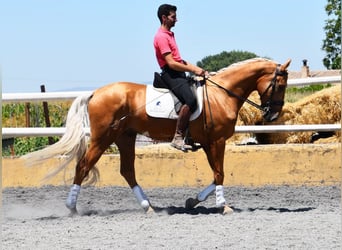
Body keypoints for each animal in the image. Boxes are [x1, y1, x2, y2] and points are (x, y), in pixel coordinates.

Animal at [24, 57, 292, 214]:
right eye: (280, 85)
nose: (272, 115)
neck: (222, 94)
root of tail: (95, 93)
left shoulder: (208, 143)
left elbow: (217, 174)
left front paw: (193, 201)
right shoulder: (216, 141)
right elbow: (220, 173)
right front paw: (222, 206)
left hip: (124, 137)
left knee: (127, 171)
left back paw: (148, 206)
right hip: (102, 138)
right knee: (83, 166)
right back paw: (71, 207)